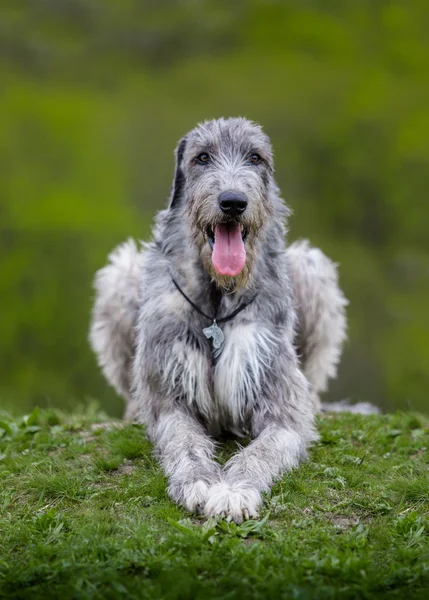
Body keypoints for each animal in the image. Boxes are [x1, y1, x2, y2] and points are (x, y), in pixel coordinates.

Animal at [88, 116, 346, 520]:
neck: (217, 300)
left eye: (255, 158)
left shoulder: (278, 401)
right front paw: (200, 481)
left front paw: (235, 489)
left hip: (310, 267)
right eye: (202, 157)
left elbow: (264, 448)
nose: (233, 202)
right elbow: (183, 441)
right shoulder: (171, 395)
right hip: (122, 274)